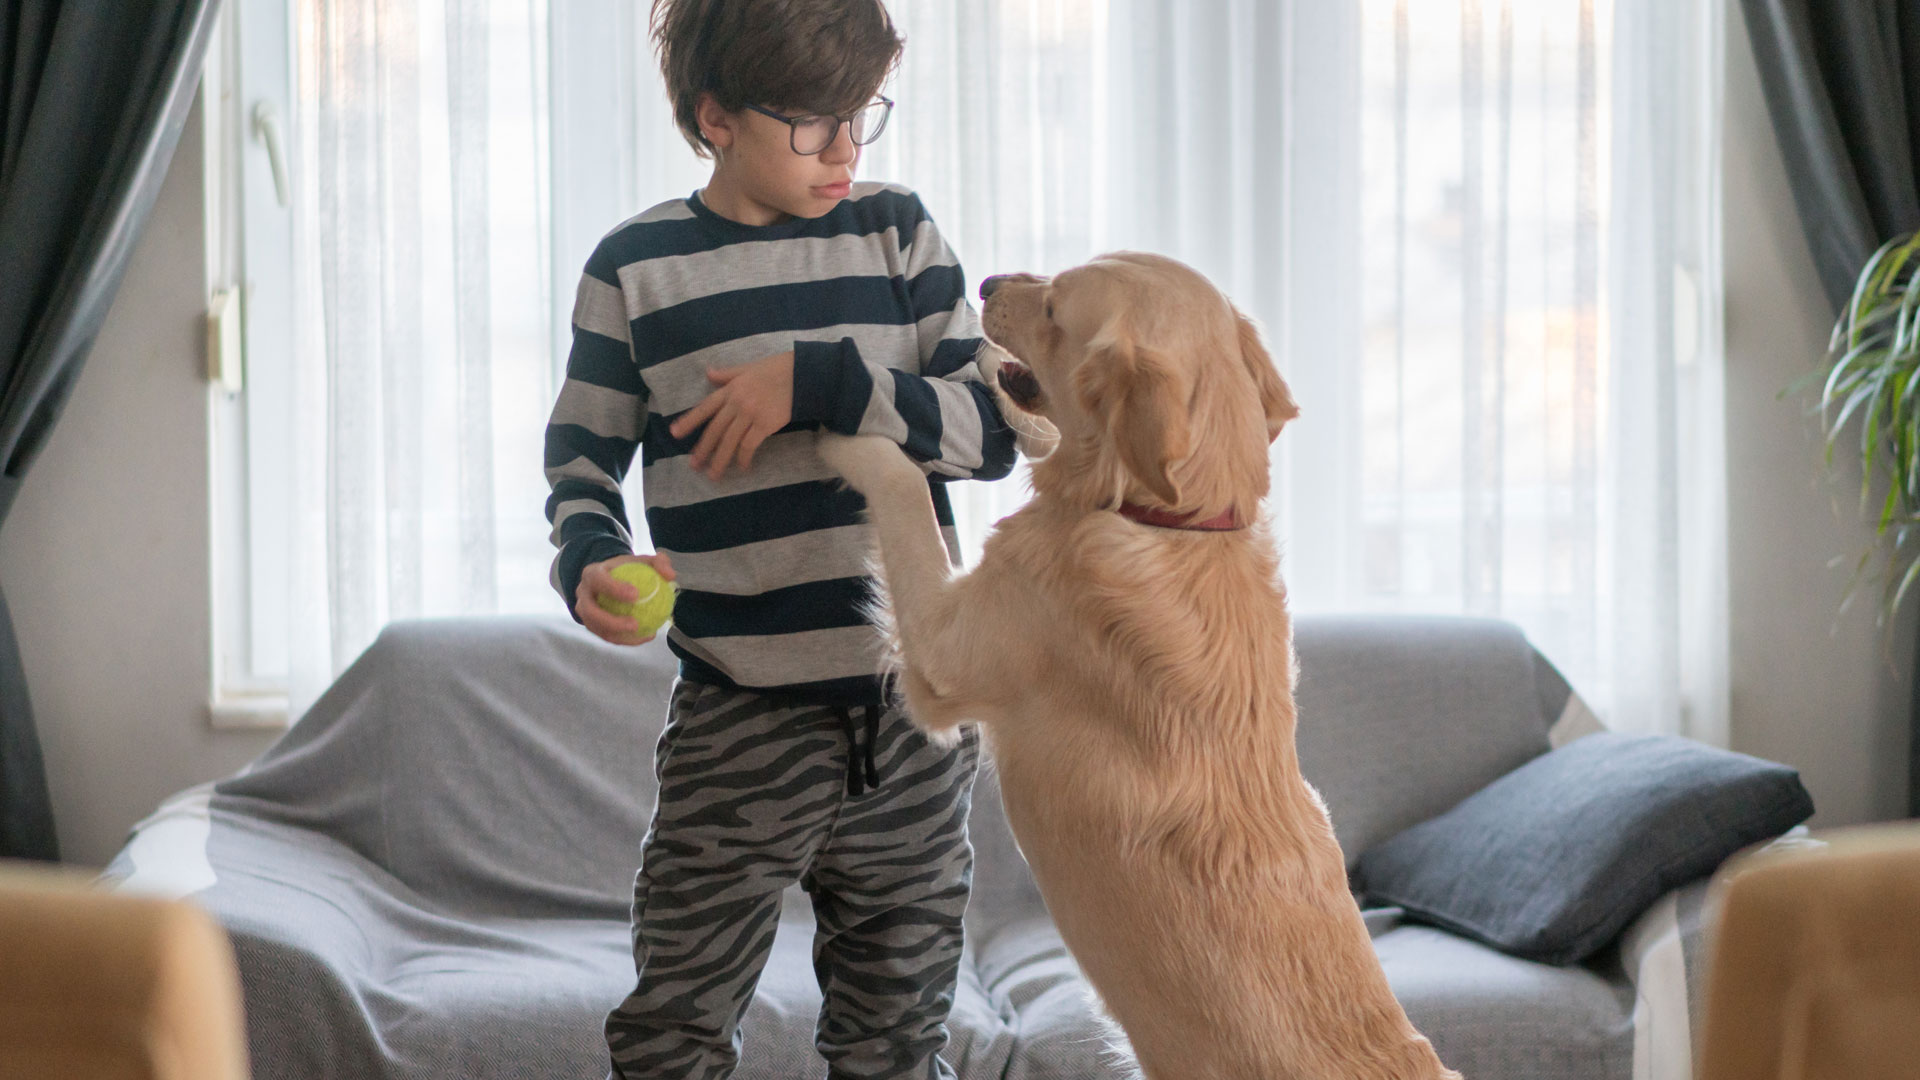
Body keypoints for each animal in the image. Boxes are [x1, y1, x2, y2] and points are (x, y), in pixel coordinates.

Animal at [810, 251, 1451, 1076]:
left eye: (1055, 309)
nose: (987, 285)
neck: (1174, 522)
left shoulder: (945, 658)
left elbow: (903, 490)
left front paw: (842, 427)